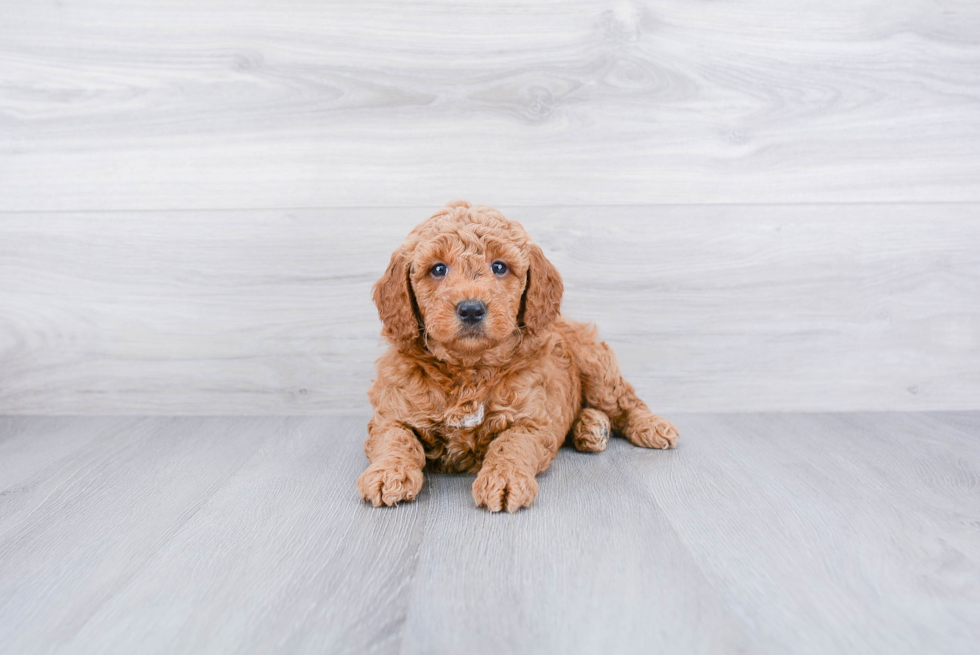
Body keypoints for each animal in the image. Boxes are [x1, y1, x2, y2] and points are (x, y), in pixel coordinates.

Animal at [356, 200, 676, 512]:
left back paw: (649, 425)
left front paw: (505, 479)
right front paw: (389, 474)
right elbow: (396, 439)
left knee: (625, 401)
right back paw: (590, 427)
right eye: (437, 269)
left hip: (595, 365)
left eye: (499, 267)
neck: (469, 369)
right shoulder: (391, 413)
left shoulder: (531, 419)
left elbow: (511, 443)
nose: (471, 309)